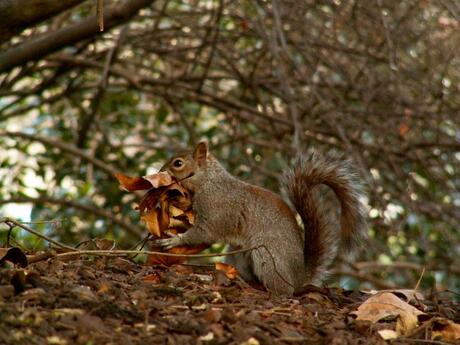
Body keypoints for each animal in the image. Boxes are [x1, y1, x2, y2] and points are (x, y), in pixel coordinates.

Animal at [156, 141, 368, 294]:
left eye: (178, 163)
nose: (158, 172)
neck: (209, 180)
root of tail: (299, 277)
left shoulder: (216, 210)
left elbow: (204, 233)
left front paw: (174, 240)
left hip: (267, 256)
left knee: (285, 291)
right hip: (238, 253)